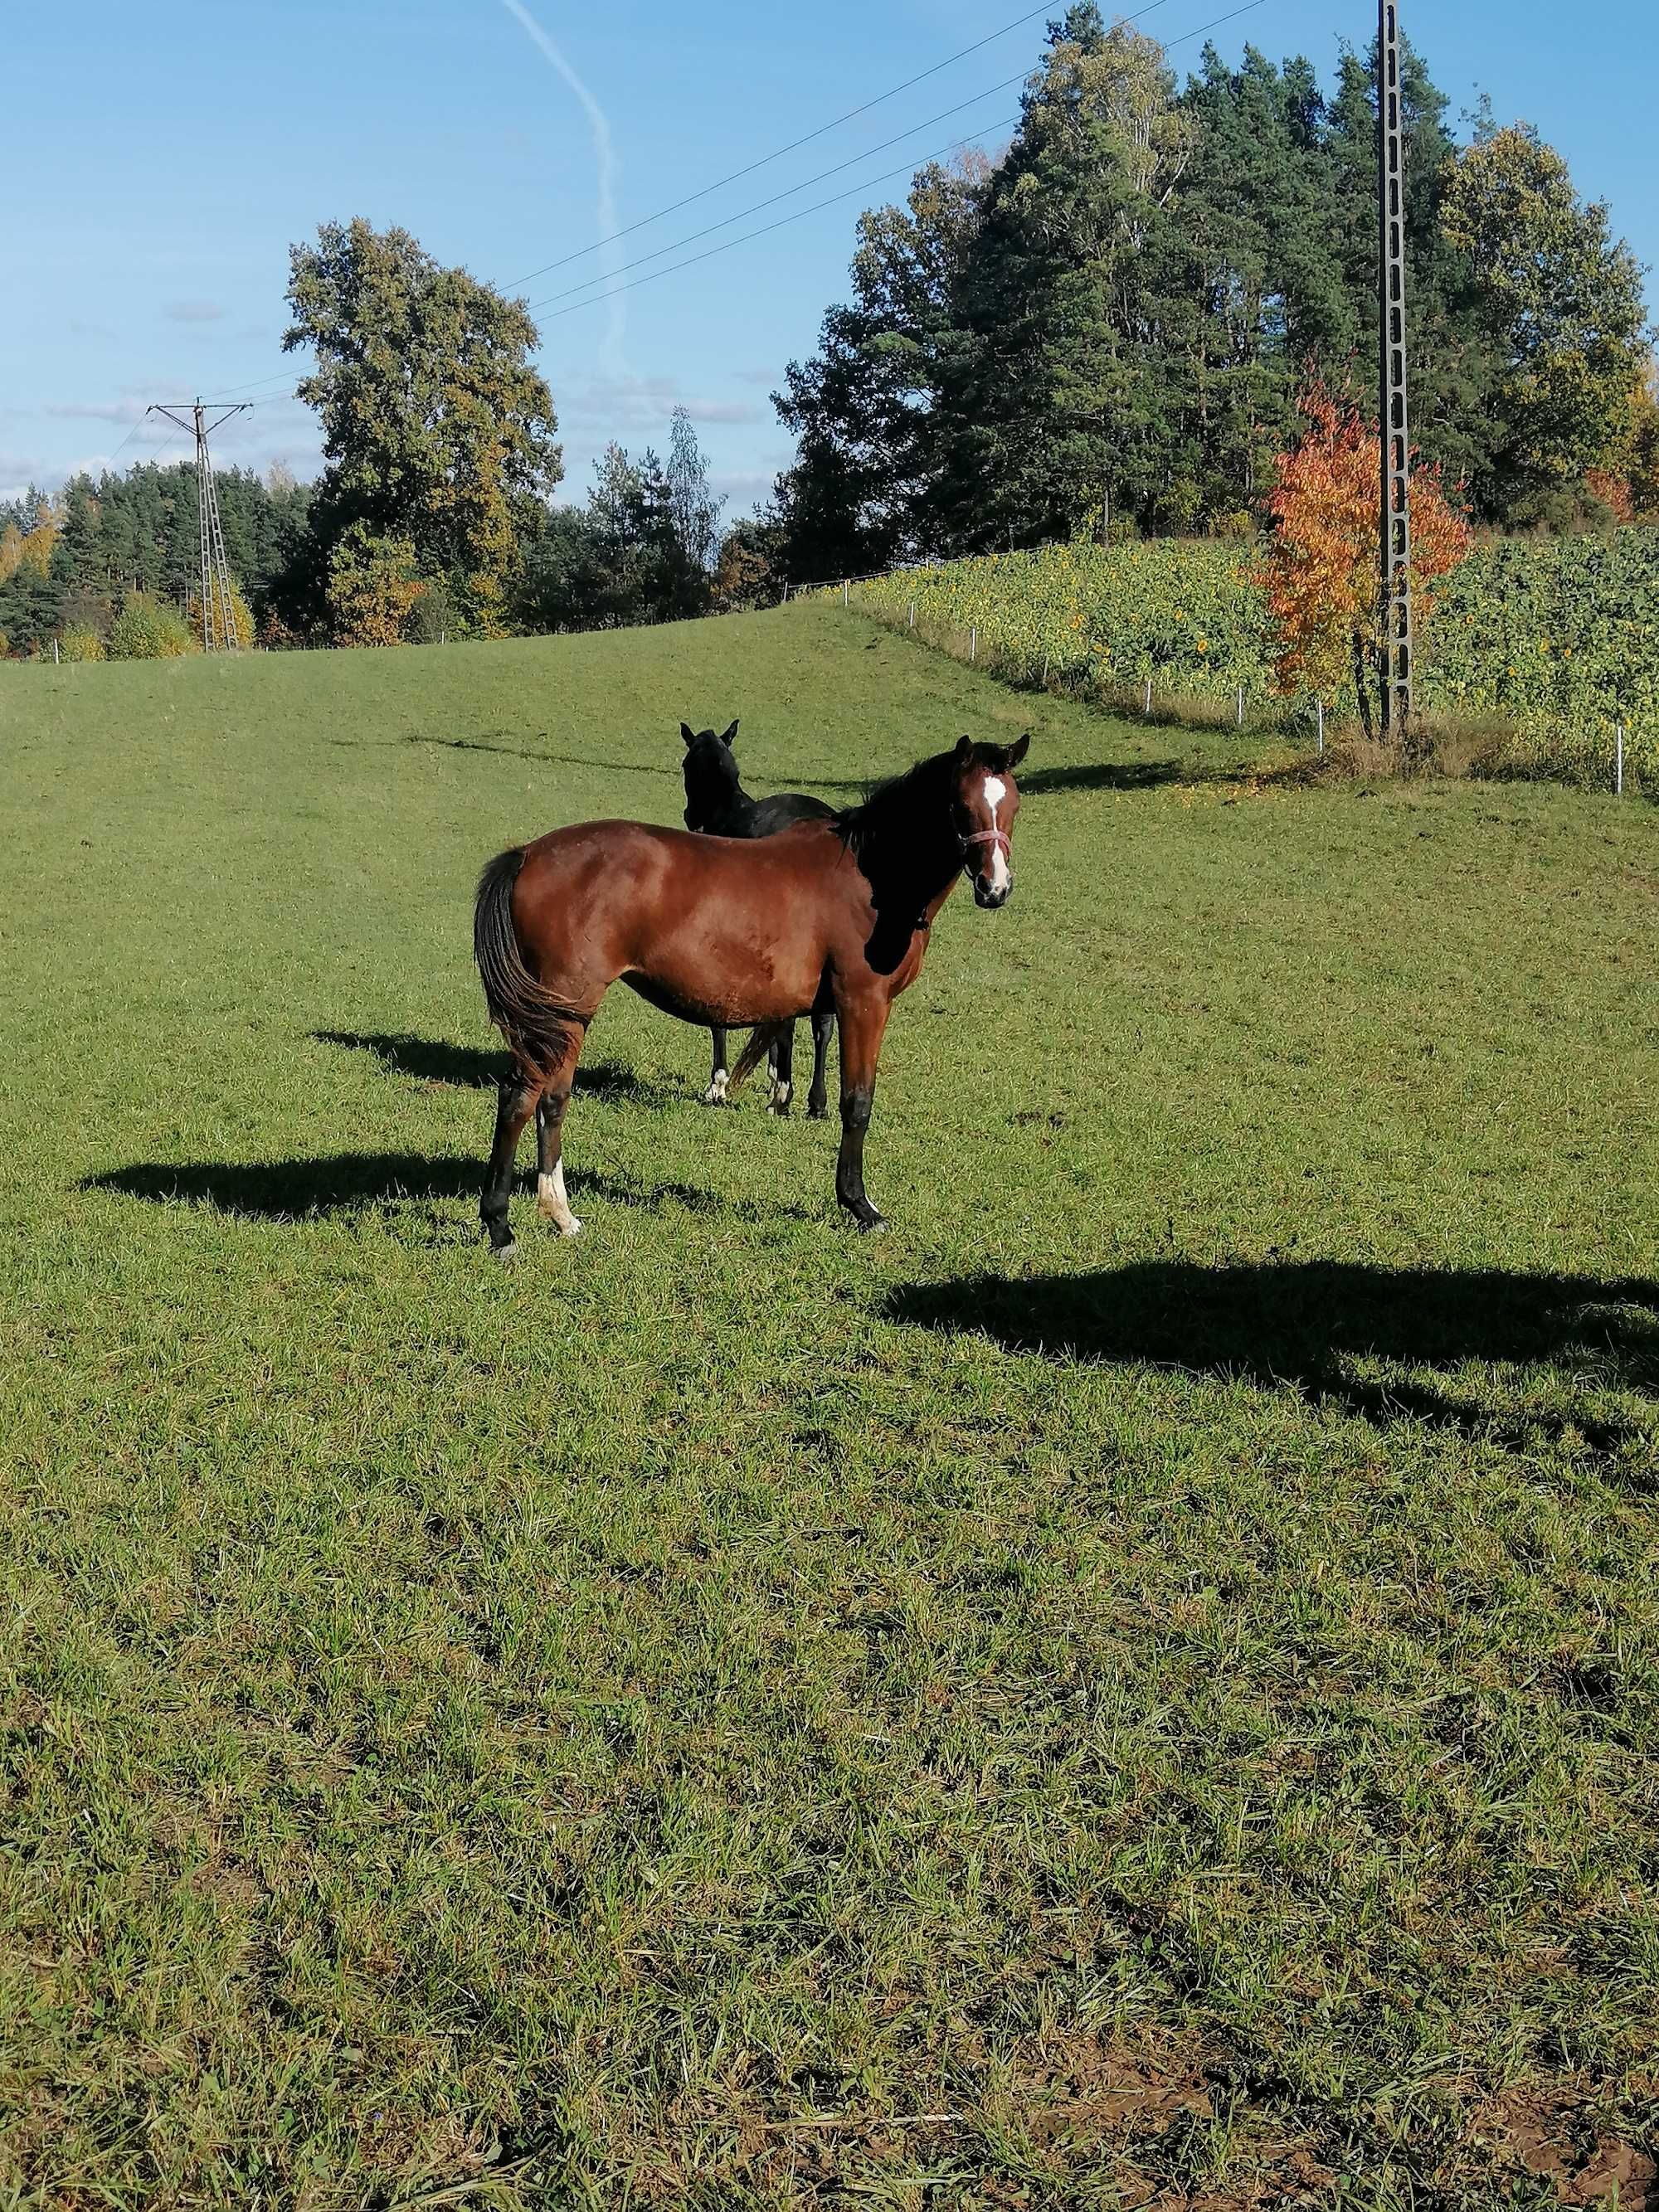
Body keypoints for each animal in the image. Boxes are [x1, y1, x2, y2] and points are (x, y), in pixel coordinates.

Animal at [681, 717, 836, 1115]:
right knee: (822, 1023)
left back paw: (785, 1094)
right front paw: (773, 1074)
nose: (689, 817)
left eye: (686, 766)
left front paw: (718, 1084)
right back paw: (814, 1100)